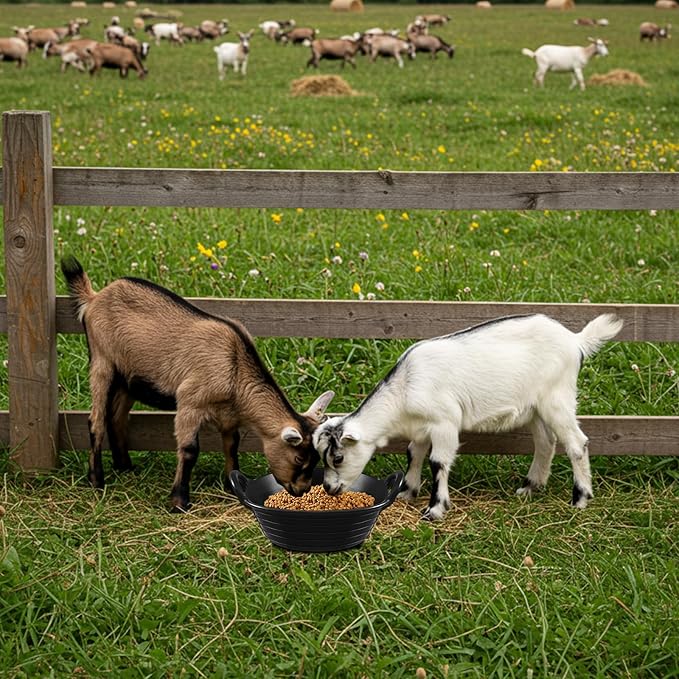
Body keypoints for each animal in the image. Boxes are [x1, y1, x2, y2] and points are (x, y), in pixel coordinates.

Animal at [61, 256, 334, 512]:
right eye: (299, 459)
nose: (301, 490)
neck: (235, 367)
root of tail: (94, 297)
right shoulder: (189, 402)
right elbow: (190, 450)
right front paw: (179, 501)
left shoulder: (229, 416)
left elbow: (232, 445)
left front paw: (231, 484)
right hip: (102, 361)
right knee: (96, 420)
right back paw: (97, 480)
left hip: (129, 378)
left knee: (116, 417)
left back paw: (125, 466)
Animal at [314, 314, 623, 521]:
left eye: (338, 457)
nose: (329, 488)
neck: (404, 390)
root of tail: (575, 340)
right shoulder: (422, 427)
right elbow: (414, 453)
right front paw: (407, 492)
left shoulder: (444, 422)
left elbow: (438, 462)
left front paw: (435, 509)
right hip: (535, 408)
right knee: (546, 442)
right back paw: (529, 488)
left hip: (556, 398)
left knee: (576, 442)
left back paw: (580, 498)